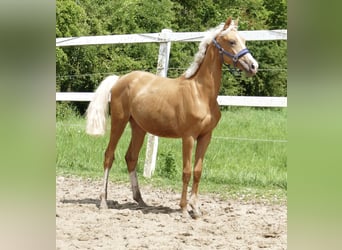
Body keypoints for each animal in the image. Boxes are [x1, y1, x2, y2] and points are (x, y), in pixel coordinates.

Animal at [87, 17, 258, 218]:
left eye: (244, 40)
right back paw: (103, 201)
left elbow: (197, 171)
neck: (201, 93)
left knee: (131, 158)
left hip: (138, 128)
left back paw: (141, 200)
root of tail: (120, 79)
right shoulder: (188, 137)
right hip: (119, 122)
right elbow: (186, 171)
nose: (254, 66)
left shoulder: (206, 137)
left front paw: (196, 209)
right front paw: (184, 209)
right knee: (109, 155)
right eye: (231, 41)